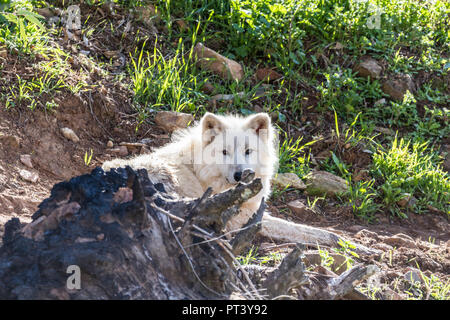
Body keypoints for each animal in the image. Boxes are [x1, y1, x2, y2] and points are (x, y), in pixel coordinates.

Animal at [102, 112, 340, 245]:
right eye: (225, 152)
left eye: (248, 151)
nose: (239, 175)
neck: (200, 171)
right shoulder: (242, 215)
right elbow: (298, 228)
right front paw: (338, 239)